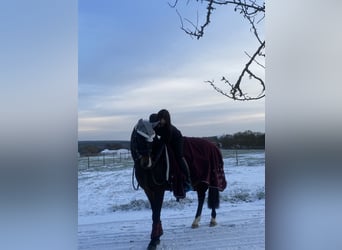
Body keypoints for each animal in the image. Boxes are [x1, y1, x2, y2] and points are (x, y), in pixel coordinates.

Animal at [131, 119, 227, 250]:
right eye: (138, 137)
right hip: (200, 182)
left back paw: (212, 220)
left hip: (211, 179)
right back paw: (196, 221)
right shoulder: (148, 190)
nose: (146, 162)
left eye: (152, 138)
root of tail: (214, 145)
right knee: (201, 198)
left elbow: (156, 213)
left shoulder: (159, 189)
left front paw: (154, 240)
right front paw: (158, 235)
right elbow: (154, 212)